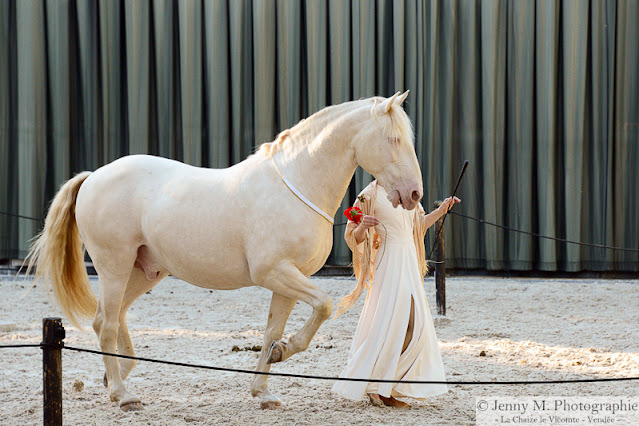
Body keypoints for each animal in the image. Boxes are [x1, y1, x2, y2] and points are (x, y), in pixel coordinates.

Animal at [27, 91, 422, 412]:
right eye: (393, 139)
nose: (414, 194)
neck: (297, 184)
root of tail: (93, 177)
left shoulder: (289, 279)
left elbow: (272, 331)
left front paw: (265, 390)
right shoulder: (274, 272)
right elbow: (324, 305)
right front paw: (284, 352)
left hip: (143, 271)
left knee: (113, 317)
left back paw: (117, 377)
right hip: (114, 266)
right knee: (106, 322)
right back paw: (123, 395)